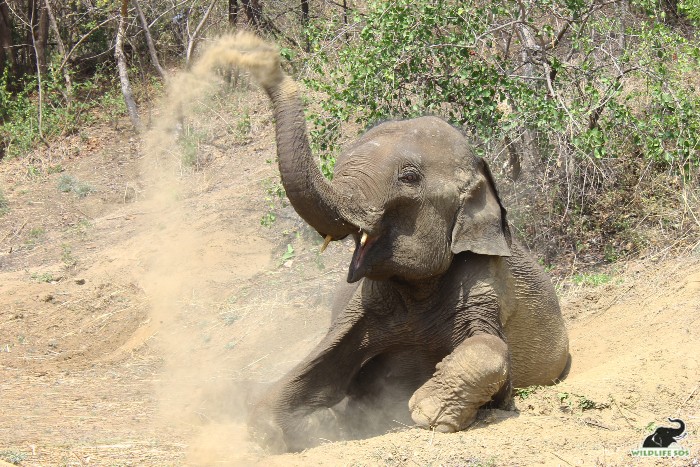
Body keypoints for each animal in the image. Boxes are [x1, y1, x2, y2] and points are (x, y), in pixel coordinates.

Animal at [217, 33, 568, 454]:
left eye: (409, 177)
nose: (255, 54)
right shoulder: (365, 304)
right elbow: (317, 365)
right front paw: (281, 430)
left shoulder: (488, 284)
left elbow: (495, 351)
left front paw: (427, 412)